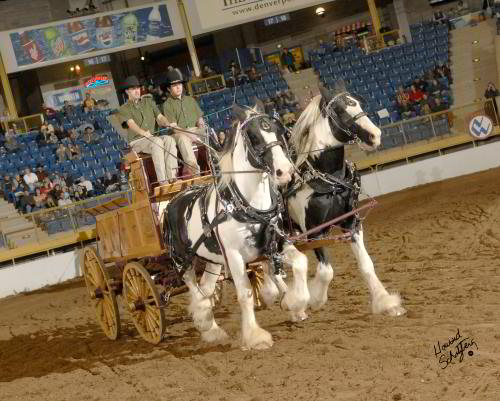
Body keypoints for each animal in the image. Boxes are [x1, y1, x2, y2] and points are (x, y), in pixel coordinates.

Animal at [164, 101, 310, 348]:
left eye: (279, 131)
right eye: (254, 137)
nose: (285, 172)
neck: (247, 204)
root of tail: (171, 202)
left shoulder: (276, 242)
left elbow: (300, 262)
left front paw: (295, 302)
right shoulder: (234, 255)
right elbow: (245, 294)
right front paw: (255, 337)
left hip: (212, 259)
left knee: (206, 288)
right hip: (182, 260)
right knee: (194, 288)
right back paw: (208, 325)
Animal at [264, 86, 404, 316]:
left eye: (359, 103)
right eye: (339, 111)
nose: (375, 135)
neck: (329, 179)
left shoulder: (351, 223)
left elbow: (366, 264)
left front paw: (385, 302)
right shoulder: (314, 232)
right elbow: (326, 271)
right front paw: (315, 299)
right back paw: (290, 302)